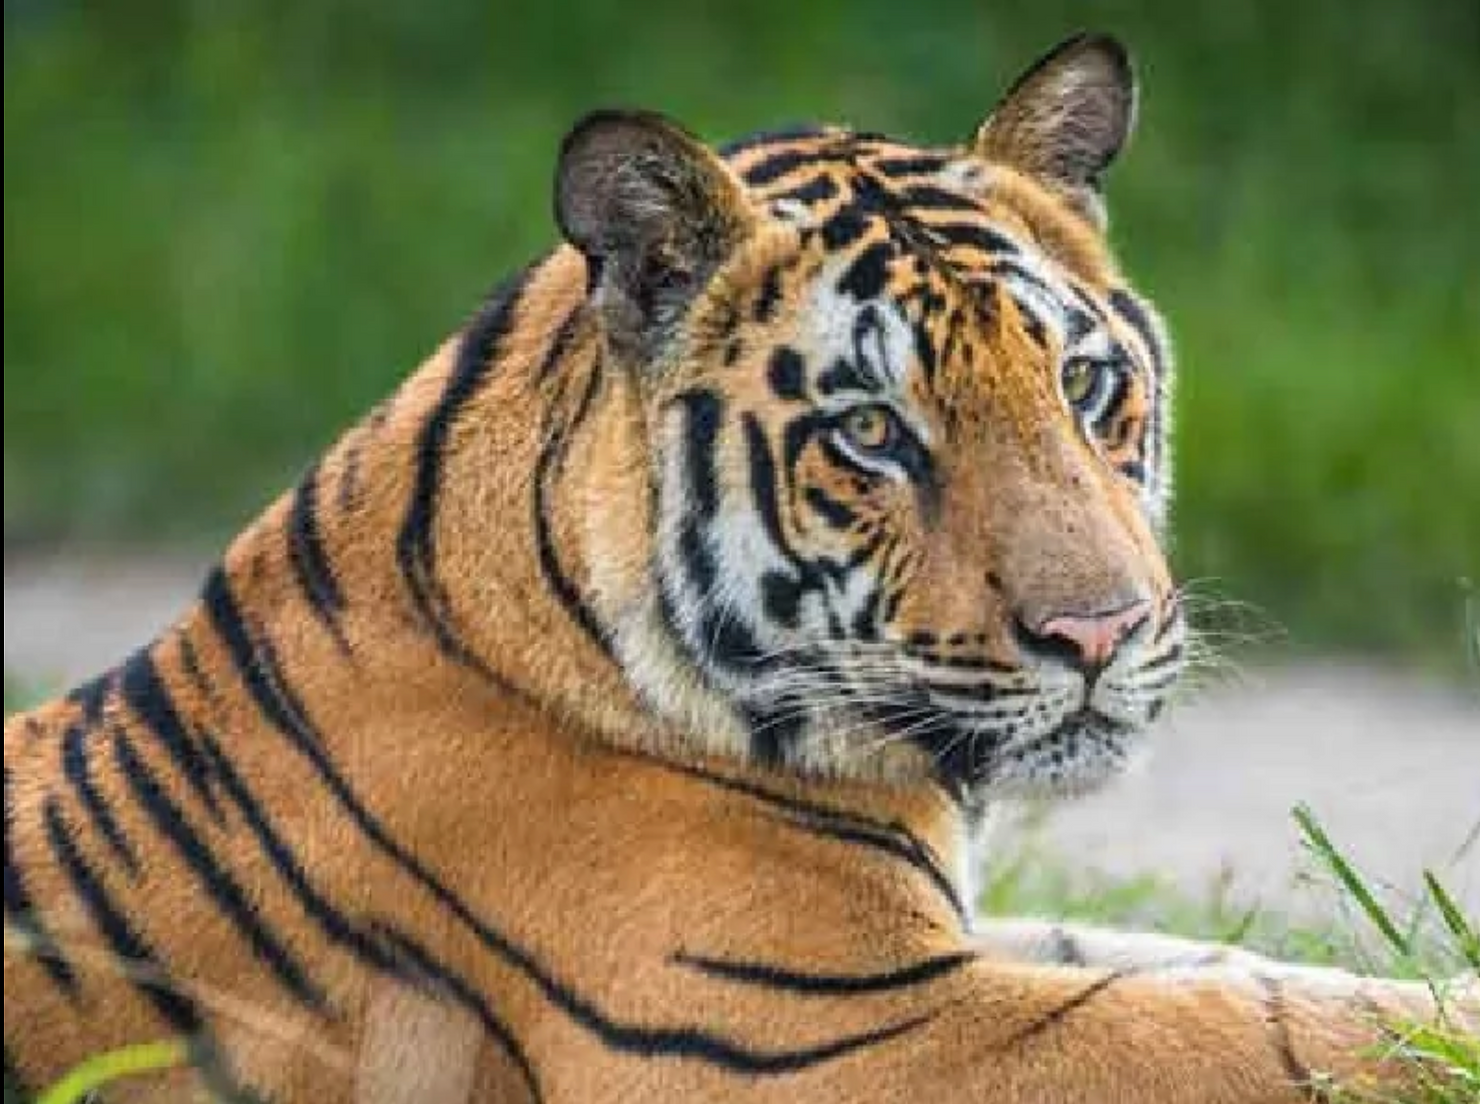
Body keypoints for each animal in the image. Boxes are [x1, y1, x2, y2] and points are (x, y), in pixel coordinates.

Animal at [5, 30, 1474, 1104]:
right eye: (874, 432)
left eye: (1083, 381)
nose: (1102, 633)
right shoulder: (839, 1029)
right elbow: (1243, 1031)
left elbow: (1240, 972)